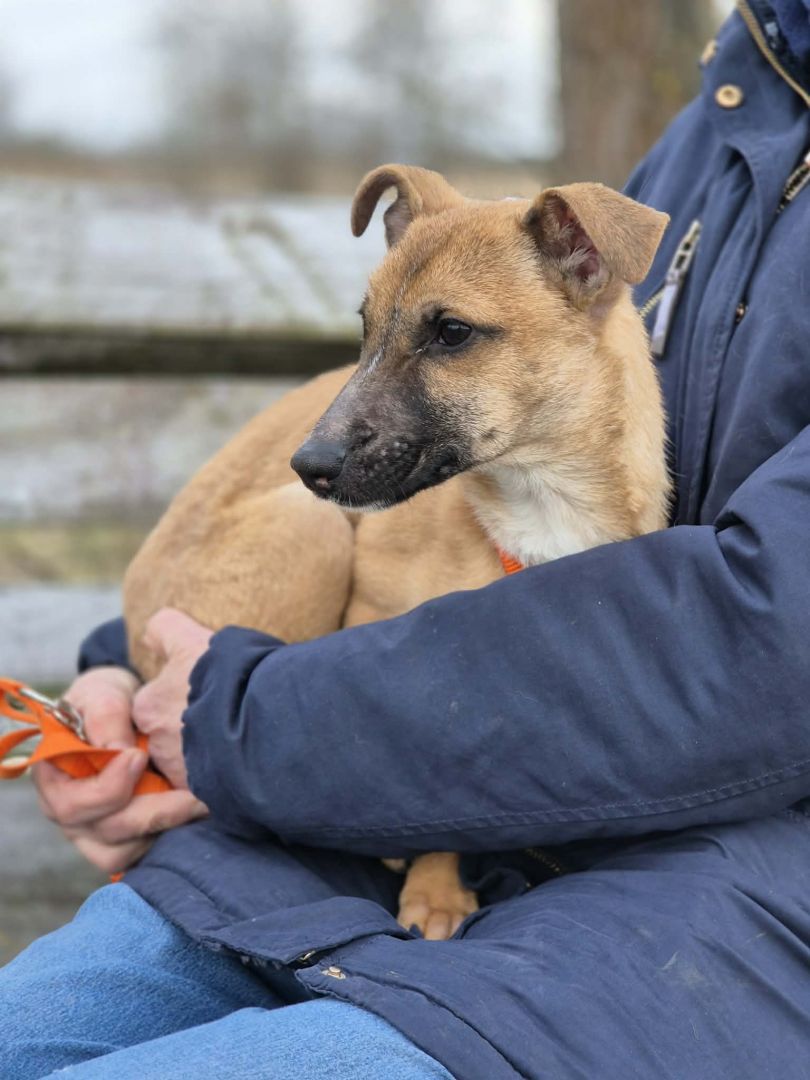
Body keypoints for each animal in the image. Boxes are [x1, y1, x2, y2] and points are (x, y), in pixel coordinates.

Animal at [123, 164, 670, 940]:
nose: (309, 466)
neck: (540, 499)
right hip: (314, 531)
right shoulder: (379, 633)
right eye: (364, 328)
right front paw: (434, 890)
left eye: (451, 332)